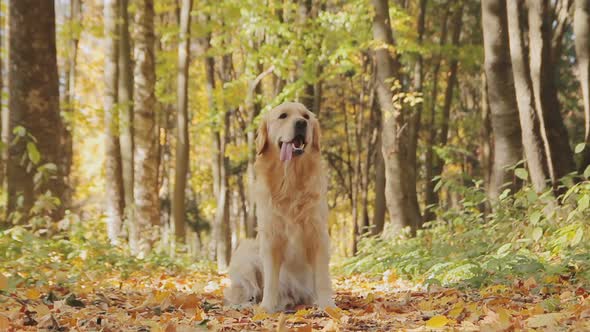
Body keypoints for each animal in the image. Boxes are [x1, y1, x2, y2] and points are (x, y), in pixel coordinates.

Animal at [224, 101, 336, 312]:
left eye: (306, 117)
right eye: (283, 116)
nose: (301, 123)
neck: (290, 179)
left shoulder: (318, 235)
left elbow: (322, 278)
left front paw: (328, 305)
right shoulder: (271, 238)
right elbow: (270, 280)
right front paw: (266, 308)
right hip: (246, 253)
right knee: (245, 291)